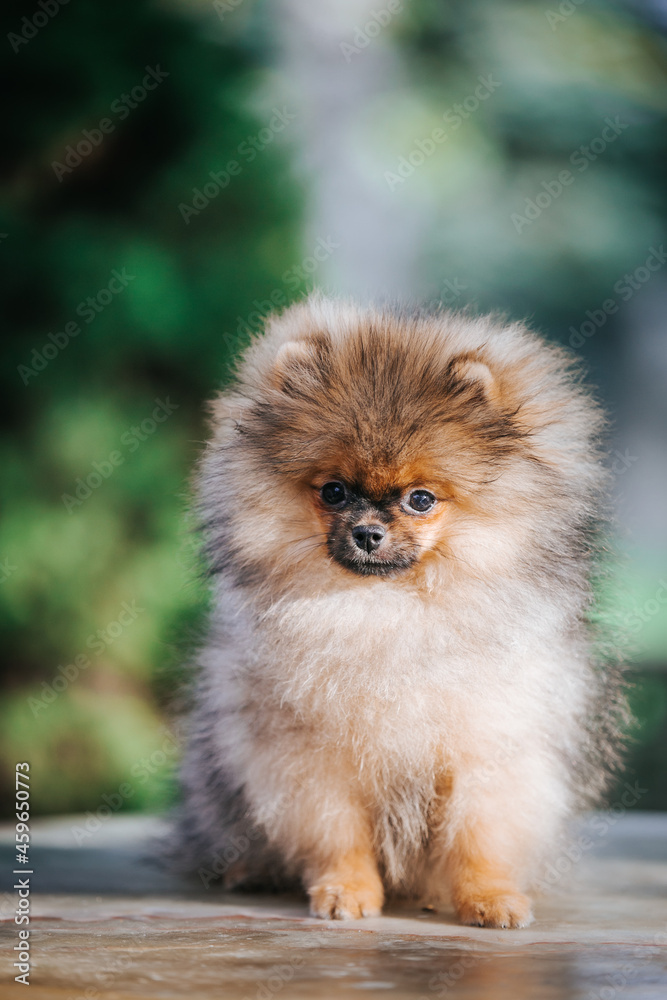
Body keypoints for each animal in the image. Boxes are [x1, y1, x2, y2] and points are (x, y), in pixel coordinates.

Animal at [172, 296, 628, 928]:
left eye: (421, 499)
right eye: (334, 491)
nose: (367, 533)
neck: (387, 609)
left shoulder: (491, 748)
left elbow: (481, 834)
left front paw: (489, 896)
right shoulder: (309, 758)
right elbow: (336, 832)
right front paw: (345, 889)